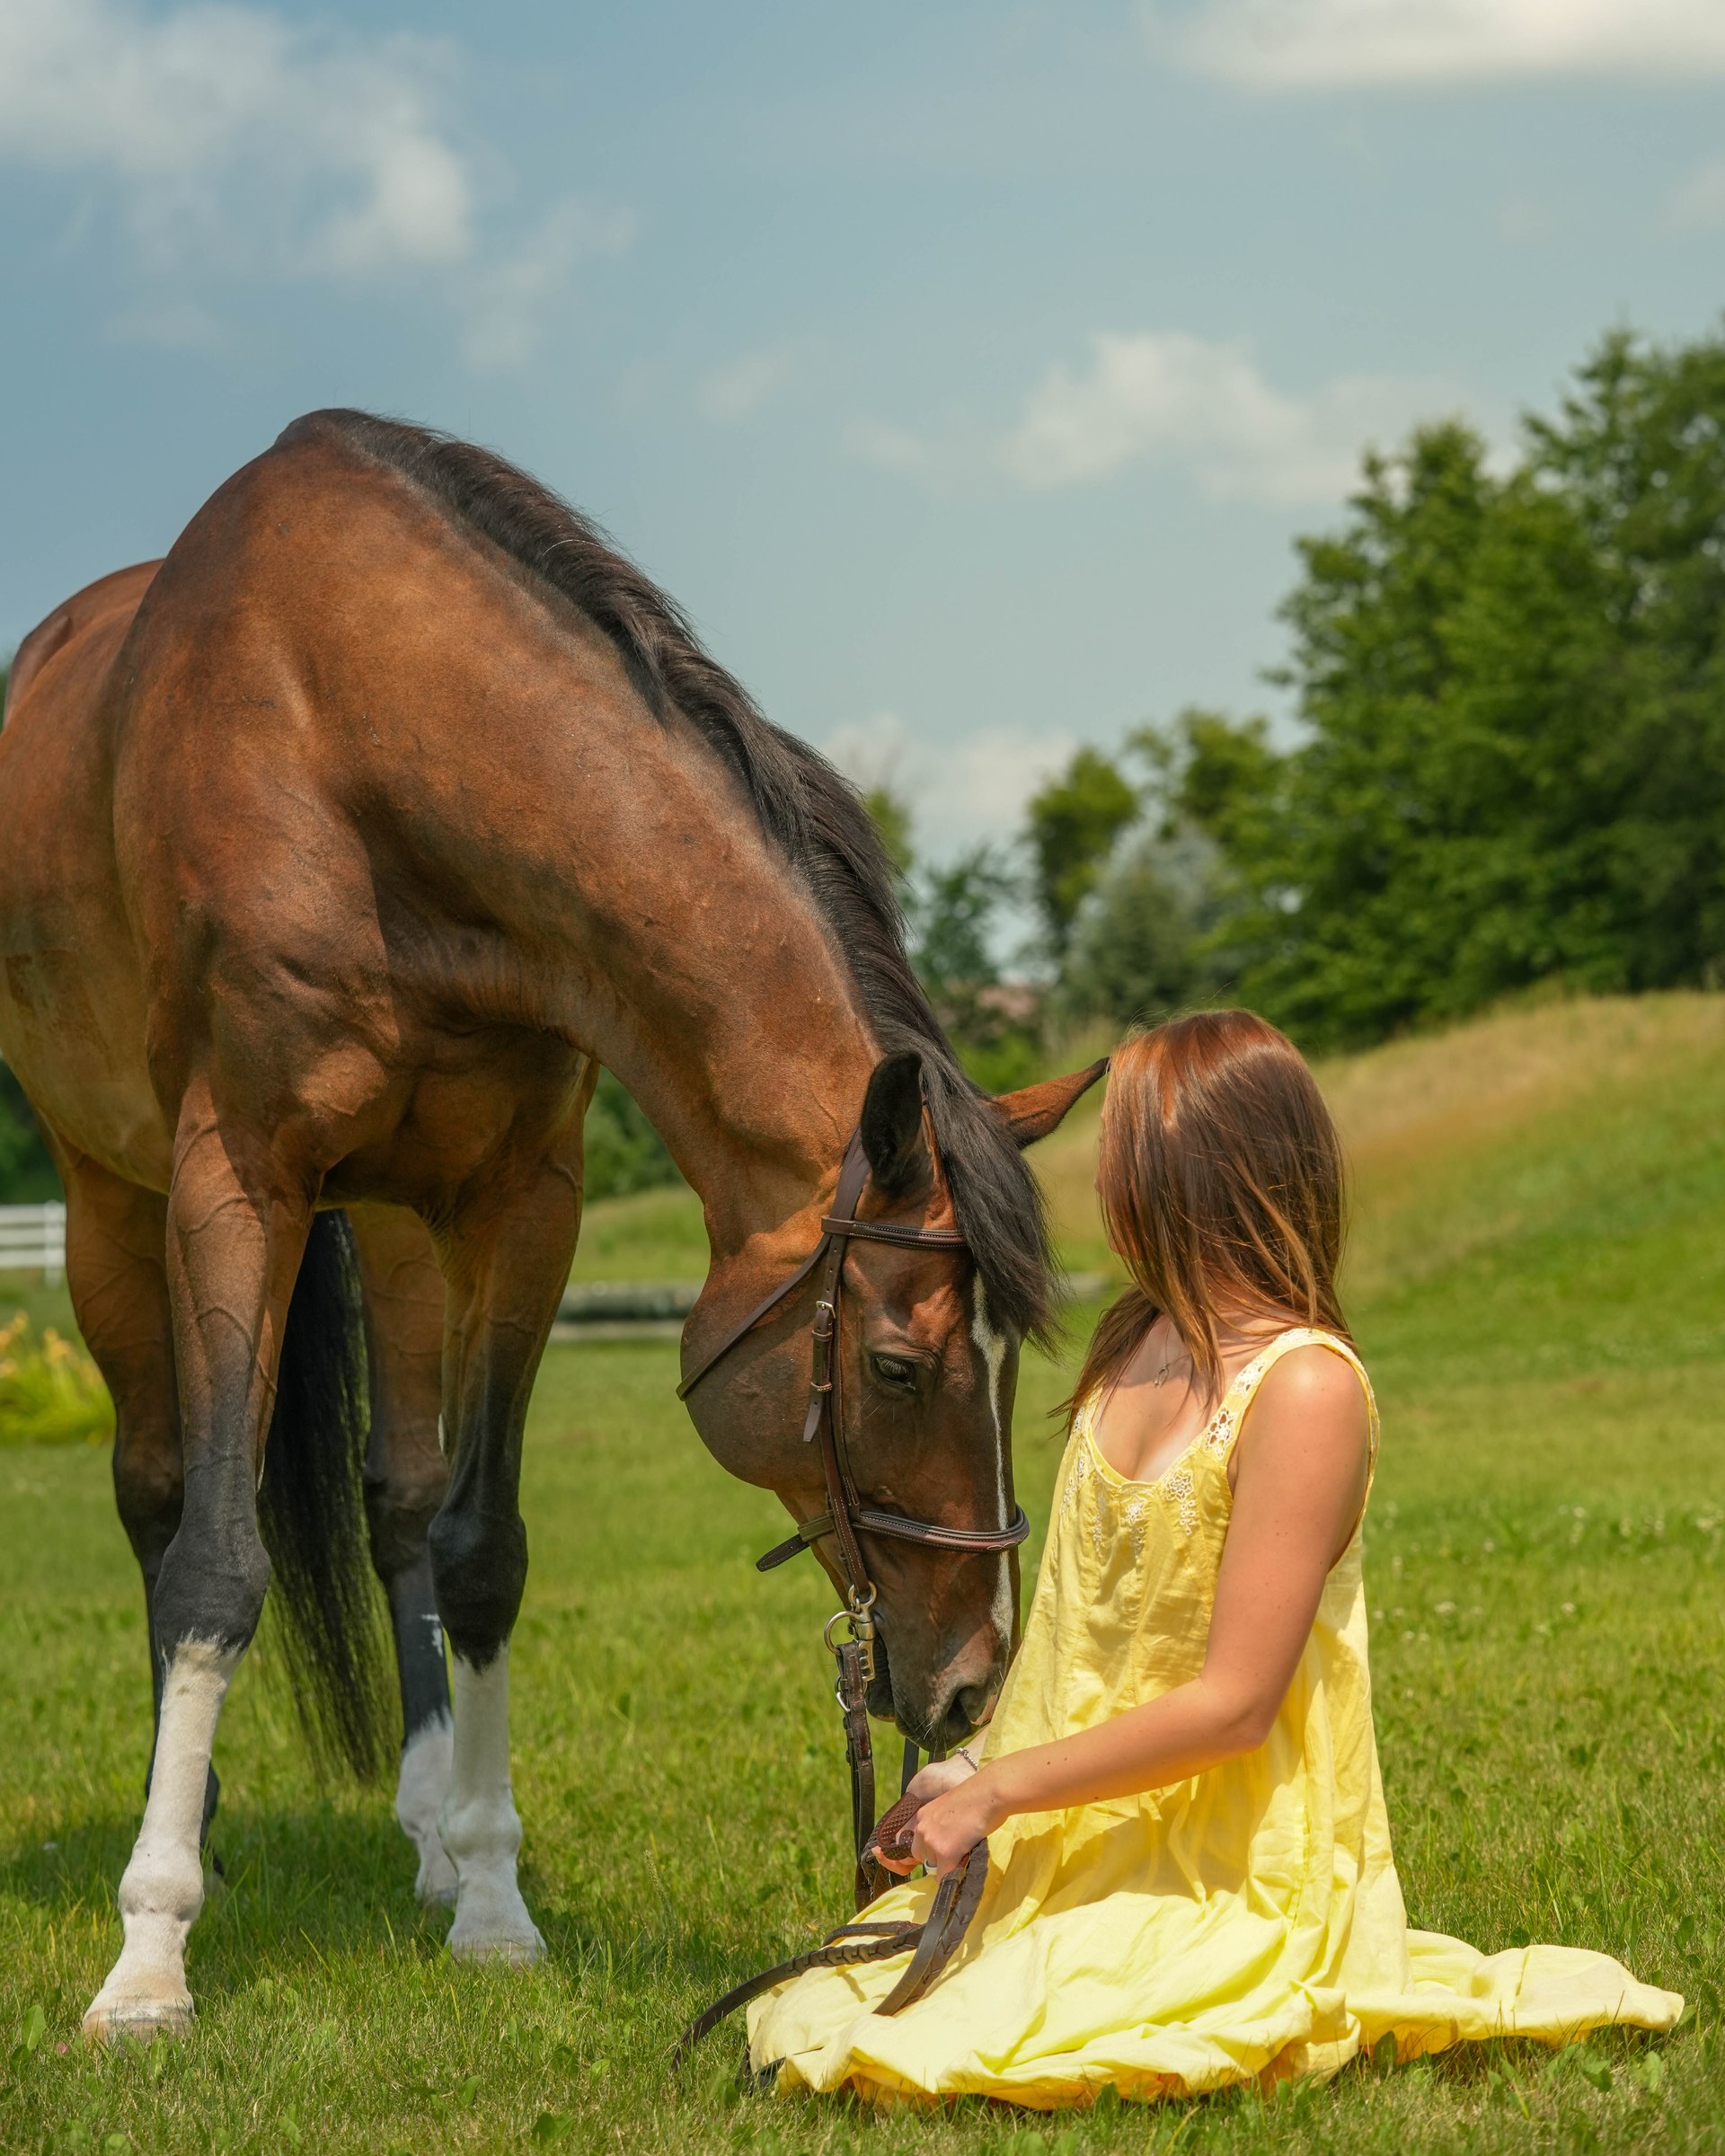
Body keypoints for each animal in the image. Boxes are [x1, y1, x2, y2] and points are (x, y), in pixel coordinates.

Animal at [0, 410, 1102, 2044]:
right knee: (155, 1499)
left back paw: (424, 1836)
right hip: (108, 1201)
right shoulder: (235, 1179)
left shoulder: (521, 1203)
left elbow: (479, 1547)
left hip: (396, 1229)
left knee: (396, 1500)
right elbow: (213, 1562)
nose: (974, 1682)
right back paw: (183, 1837)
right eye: (900, 1369)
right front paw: (150, 1953)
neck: (352, 731)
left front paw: (493, 1902)